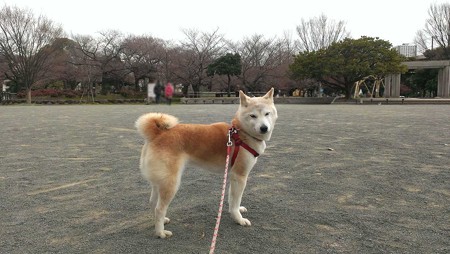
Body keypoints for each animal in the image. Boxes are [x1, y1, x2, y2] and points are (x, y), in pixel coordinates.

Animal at [135, 88, 278, 238]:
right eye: (253, 116)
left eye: (267, 113)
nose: (264, 128)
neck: (241, 133)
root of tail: (157, 134)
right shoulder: (240, 176)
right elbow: (236, 200)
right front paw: (239, 219)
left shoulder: (232, 175)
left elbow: (232, 199)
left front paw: (237, 210)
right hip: (171, 183)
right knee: (159, 208)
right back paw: (160, 232)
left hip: (160, 181)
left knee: (153, 203)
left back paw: (161, 222)